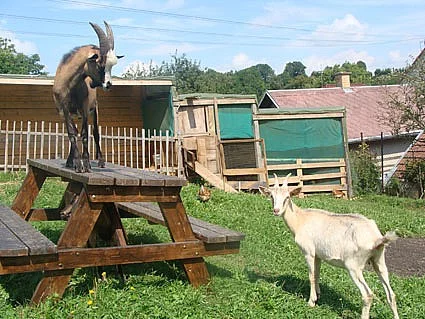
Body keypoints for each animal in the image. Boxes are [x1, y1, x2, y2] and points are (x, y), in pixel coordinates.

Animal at [53, 21, 122, 172]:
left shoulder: (84, 108)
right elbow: (72, 134)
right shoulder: (65, 110)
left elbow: (85, 134)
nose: (108, 84)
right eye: (100, 64)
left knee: (95, 133)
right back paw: (70, 161)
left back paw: (100, 161)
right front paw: (77, 164)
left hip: (94, 110)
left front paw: (86, 164)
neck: (70, 85)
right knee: (75, 132)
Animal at [258, 175, 398, 319]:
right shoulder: (318, 255)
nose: (276, 211)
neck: (300, 220)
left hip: (353, 266)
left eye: (287, 197)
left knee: (368, 295)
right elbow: (317, 273)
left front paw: (311, 301)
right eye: (271, 196)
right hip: (379, 260)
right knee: (391, 294)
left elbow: (311, 275)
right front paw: (318, 295)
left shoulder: (308, 252)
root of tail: (376, 238)